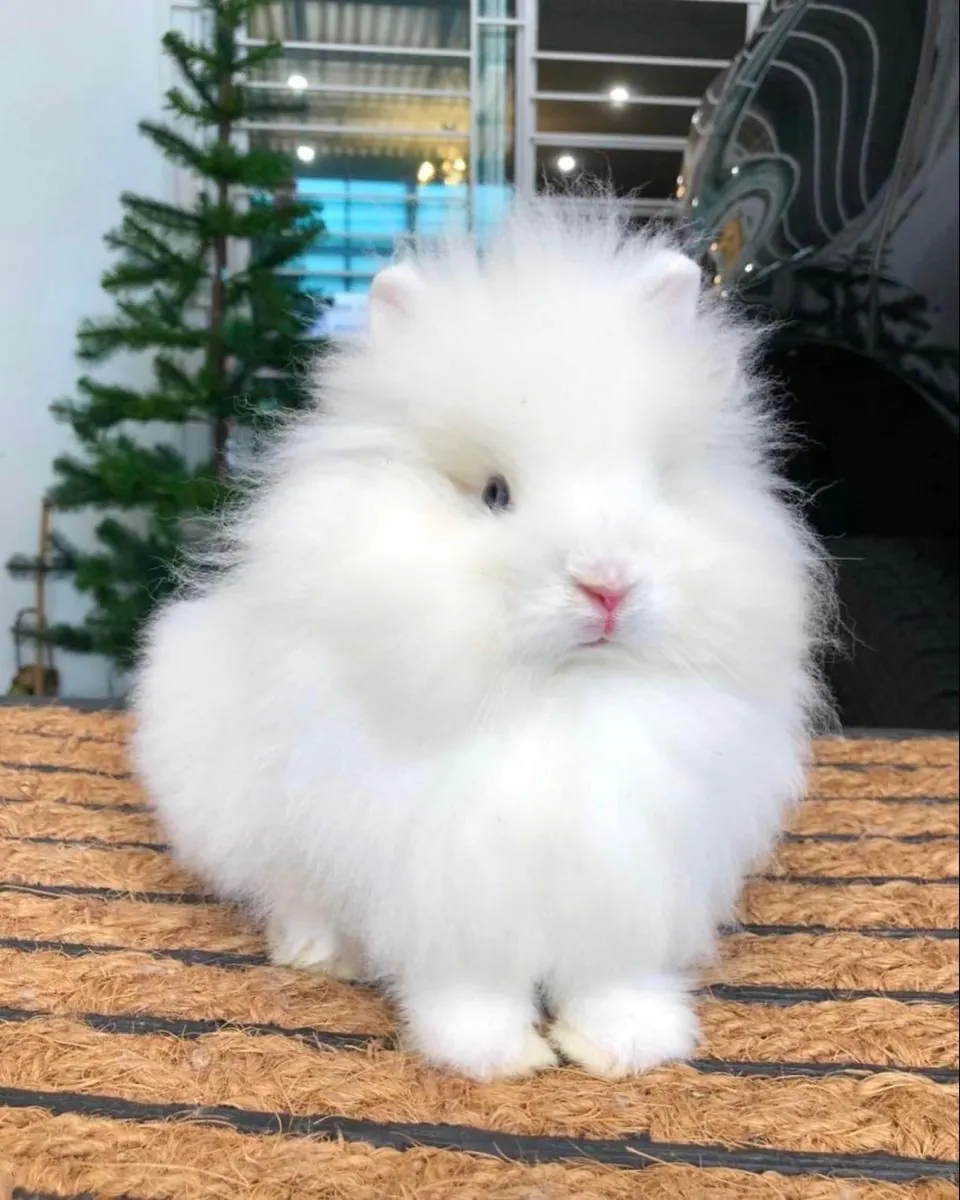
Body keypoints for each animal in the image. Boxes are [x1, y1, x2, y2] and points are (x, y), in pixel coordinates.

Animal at [133, 199, 832, 1081]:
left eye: (654, 483)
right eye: (496, 494)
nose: (608, 584)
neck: (565, 695)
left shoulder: (631, 879)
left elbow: (611, 978)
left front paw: (626, 1046)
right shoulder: (445, 887)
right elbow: (469, 985)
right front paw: (495, 1055)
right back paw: (316, 952)